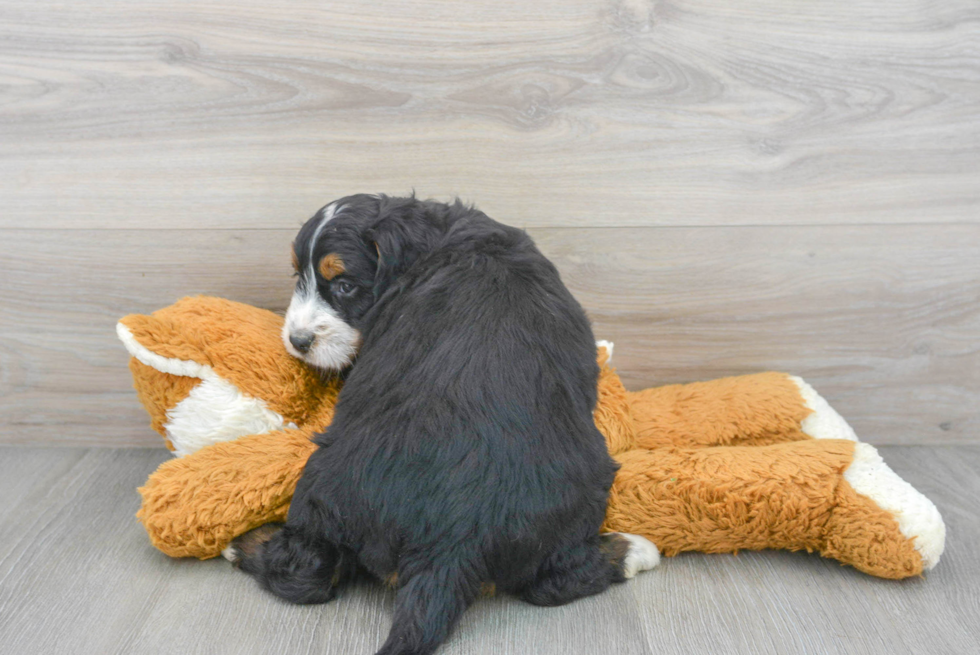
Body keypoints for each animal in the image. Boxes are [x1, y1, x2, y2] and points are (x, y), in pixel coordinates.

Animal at [227, 195, 660, 655]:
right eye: (298, 275)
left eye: (344, 286)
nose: (298, 341)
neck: (439, 239)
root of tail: (449, 545)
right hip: (583, 491)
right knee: (554, 580)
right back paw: (635, 550)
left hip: (321, 486)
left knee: (304, 572)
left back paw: (240, 545)